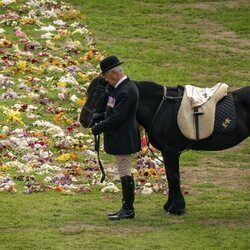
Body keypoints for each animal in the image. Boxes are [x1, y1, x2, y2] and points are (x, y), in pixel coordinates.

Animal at [80, 76, 250, 215]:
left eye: (98, 93)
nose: (83, 119)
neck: (160, 108)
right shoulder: (167, 151)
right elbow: (170, 176)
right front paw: (170, 205)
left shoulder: (171, 151)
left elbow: (173, 177)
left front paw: (176, 208)